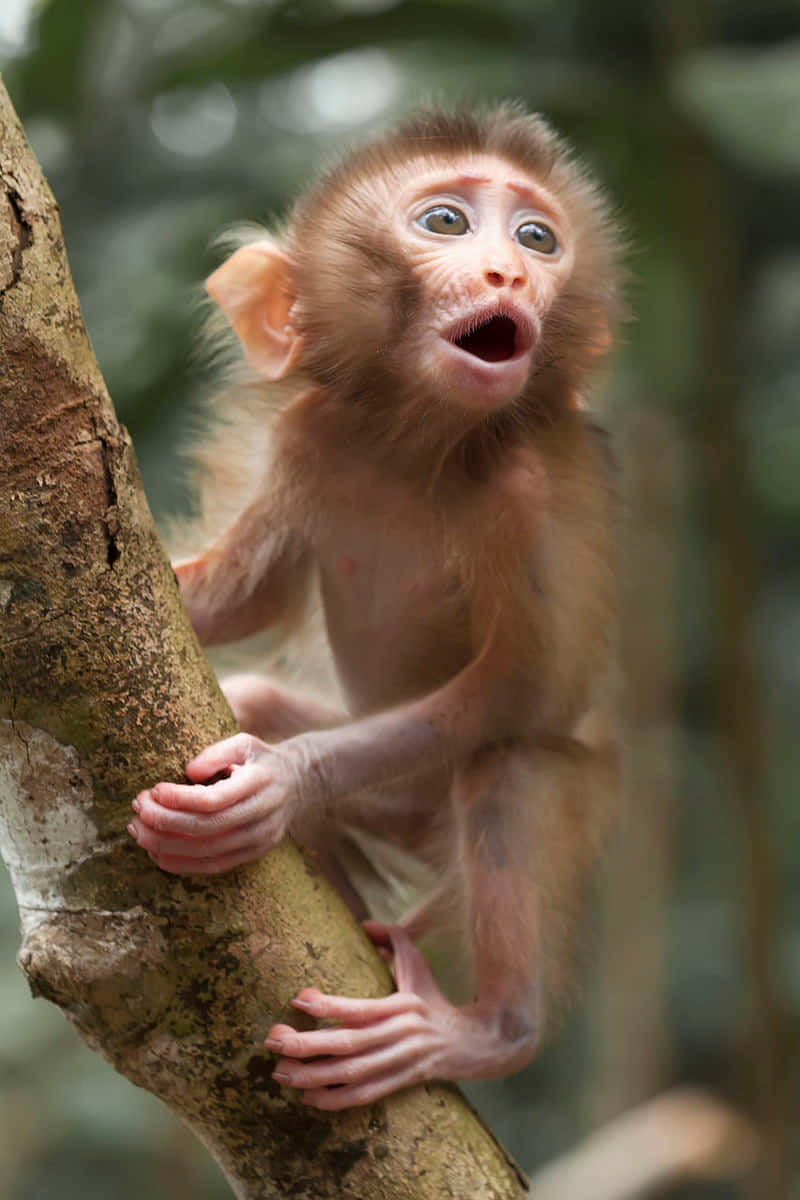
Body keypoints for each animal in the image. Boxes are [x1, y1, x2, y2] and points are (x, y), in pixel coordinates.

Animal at [128, 104, 623, 1111]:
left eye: (537, 238)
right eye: (444, 223)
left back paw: (483, 1031)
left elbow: (523, 692)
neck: (412, 443)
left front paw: (282, 782)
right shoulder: (305, 435)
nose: (510, 273)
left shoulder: (529, 496)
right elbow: (241, 602)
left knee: (508, 762)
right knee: (260, 700)